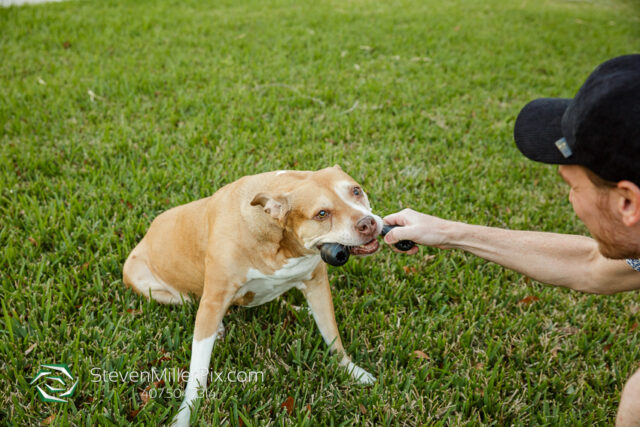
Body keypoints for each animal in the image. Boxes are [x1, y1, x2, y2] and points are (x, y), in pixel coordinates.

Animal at [122, 166, 382, 426]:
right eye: (322, 214)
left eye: (356, 190)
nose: (368, 223)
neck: (280, 242)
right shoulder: (213, 299)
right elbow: (198, 368)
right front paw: (185, 414)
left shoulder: (317, 283)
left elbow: (332, 336)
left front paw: (353, 371)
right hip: (142, 280)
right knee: (188, 300)